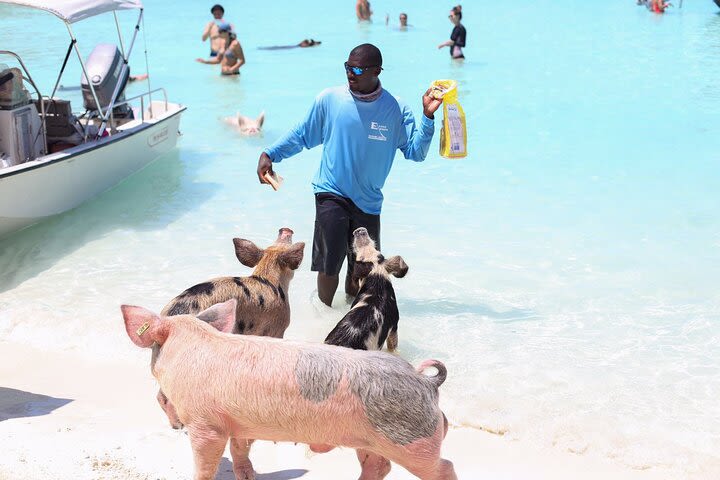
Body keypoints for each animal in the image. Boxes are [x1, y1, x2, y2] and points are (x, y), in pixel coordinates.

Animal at [120, 298, 452, 478]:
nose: (176, 427)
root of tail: (426, 381)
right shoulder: (241, 423)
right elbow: (240, 448)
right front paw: (247, 475)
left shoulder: (206, 424)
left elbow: (207, 461)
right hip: (370, 442)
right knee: (379, 468)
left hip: (413, 441)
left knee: (443, 467)